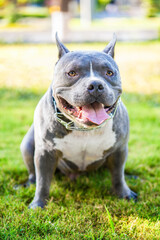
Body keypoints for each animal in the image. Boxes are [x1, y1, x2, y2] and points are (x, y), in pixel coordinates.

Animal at [20, 33, 137, 208]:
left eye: (109, 73)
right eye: (72, 73)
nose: (95, 85)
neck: (83, 128)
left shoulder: (119, 150)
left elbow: (117, 176)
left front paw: (124, 194)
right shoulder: (45, 153)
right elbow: (43, 181)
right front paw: (38, 204)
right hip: (27, 145)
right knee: (34, 174)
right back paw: (29, 184)